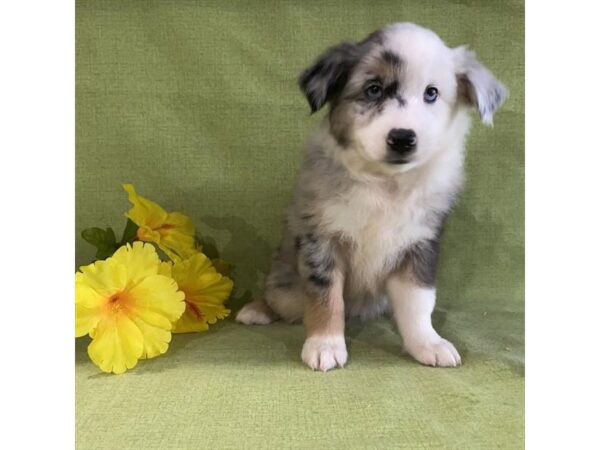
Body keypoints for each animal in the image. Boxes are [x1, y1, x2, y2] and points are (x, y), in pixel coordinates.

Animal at [234, 22, 506, 370]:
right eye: (373, 89)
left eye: (431, 93)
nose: (402, 138)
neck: (385, 184)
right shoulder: (321, 238)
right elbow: (325, 297)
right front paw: (325, 346)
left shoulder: (420, 243)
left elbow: (418, 302)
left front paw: (428, 343)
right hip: (286, 280)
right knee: (279, 297)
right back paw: (255, 310)